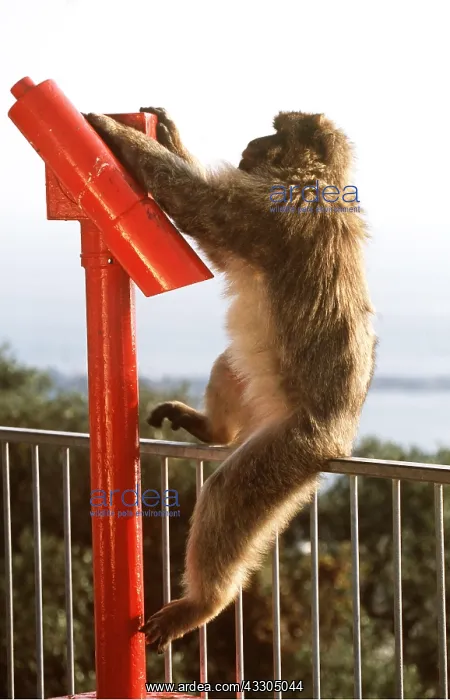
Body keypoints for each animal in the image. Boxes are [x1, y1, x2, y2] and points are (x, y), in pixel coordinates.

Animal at [86, 107, 377, 654]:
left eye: (276, 131)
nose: (251, 140)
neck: (315, 179)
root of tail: (339, 437)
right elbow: (217, 247)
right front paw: (170, 137)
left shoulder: (274, 208)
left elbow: (198, 207)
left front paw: (120, 136)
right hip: (261, 398)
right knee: (230, 365)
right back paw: (214, 430)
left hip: (291, 447)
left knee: (227, 495)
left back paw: (203, 603)